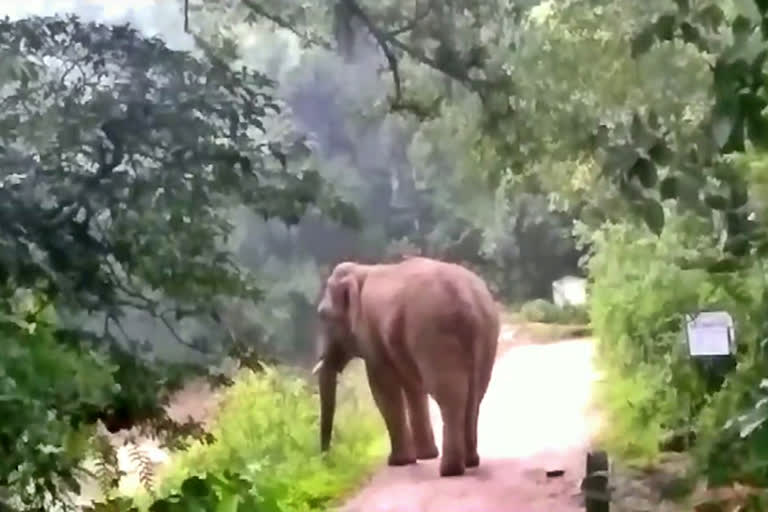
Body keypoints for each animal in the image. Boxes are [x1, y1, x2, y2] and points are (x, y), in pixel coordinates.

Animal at [310, 256, 498, 476]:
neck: (361, 270)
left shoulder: (372, 335)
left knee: (449, 395)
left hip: (433, 332)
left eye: (323, 315)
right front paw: (426, 456)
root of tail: (469, 299)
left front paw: (398, 462)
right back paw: (470, 462)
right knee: (475, 394)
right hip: (486, 333)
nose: (326, 461)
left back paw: (450, 471)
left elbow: (382, 389)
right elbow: (413, 388)